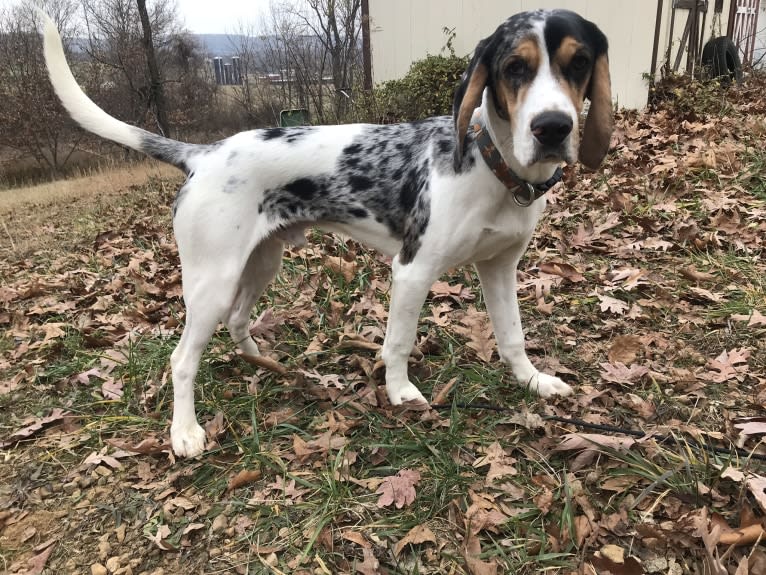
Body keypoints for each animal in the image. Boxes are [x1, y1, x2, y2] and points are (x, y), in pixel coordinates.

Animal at [40, 7, 612, 460]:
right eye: (515, 68)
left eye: (578, 63)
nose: (553, 128)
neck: (492, 166)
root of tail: (203, 154)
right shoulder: (412, 271)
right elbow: (398, 343)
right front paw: (401, 394)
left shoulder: (500, 267)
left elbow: (513, 337)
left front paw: (533, 381)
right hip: (212, 281)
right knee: (182, 360)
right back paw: (185, 432)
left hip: (261, 263)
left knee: (237, 320)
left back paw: (264, 363)